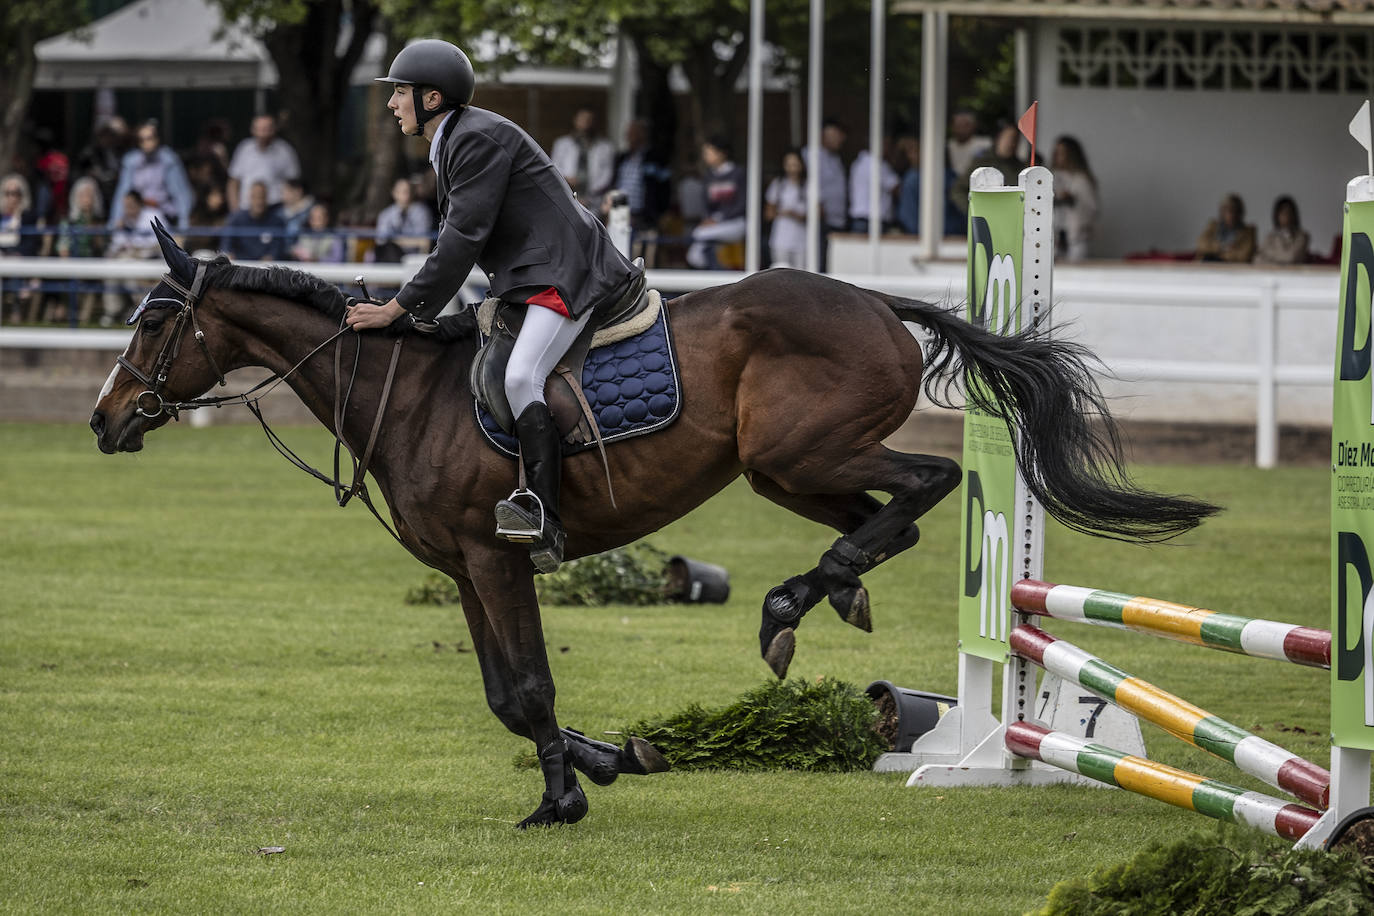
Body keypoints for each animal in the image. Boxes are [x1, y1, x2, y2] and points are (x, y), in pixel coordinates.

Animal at [91, 225, 1220, 829]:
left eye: (156, 322)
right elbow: (505, 695)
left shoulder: (496, 556)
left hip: (802, 454)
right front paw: (602, 762)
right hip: (784, 472)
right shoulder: (464, 568)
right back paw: (817, 595)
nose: (105, 419)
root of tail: (872, 299)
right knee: (877, 518)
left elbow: (527, 687)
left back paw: (789, 602)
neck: (407, 394)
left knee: (931, 478)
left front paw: (563, 800)